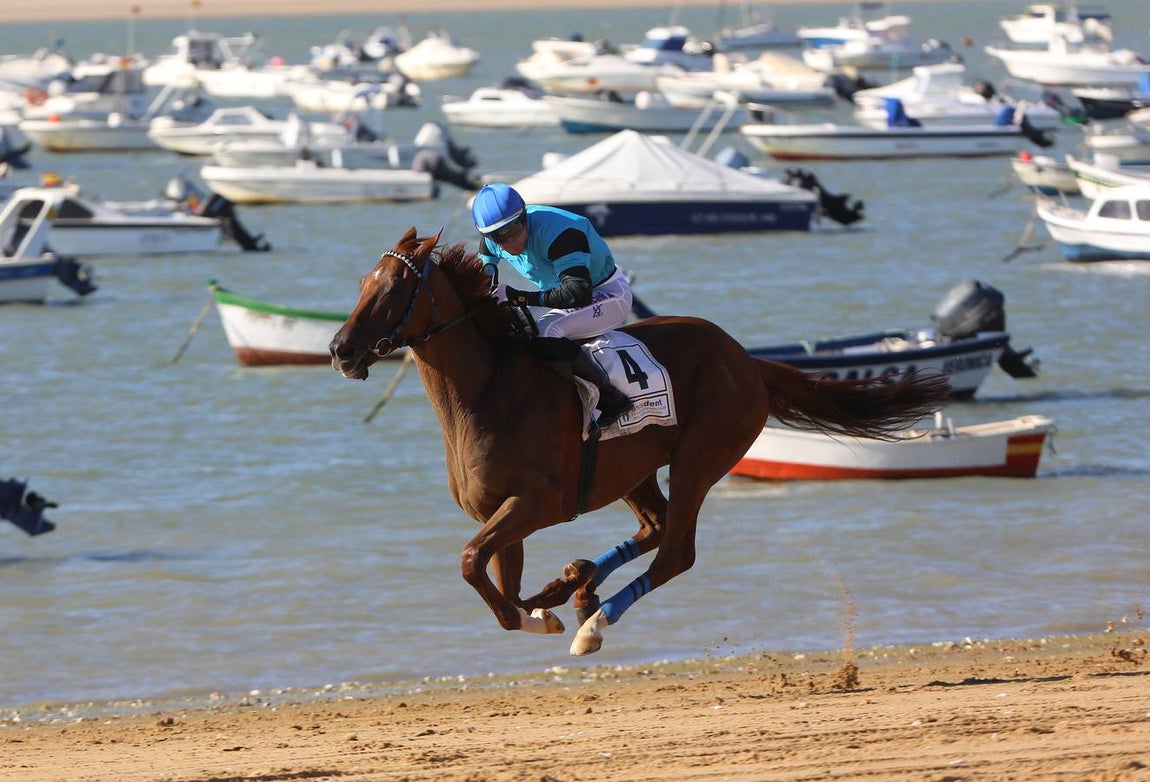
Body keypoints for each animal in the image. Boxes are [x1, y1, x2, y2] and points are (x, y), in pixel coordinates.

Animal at [330, 228, 951, 655]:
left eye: (396, 287)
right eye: (361, 283)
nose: (341, 350)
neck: (486, 391)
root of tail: (745, 359)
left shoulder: (534, 504)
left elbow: (473, 568)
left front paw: (550, 612)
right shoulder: (502, 514)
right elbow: (501, 587)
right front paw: (550, 602)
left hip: (701, 457)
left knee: (676, 549)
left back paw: (595, 621)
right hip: (635, 468)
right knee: (654, 526)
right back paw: (578, 585)